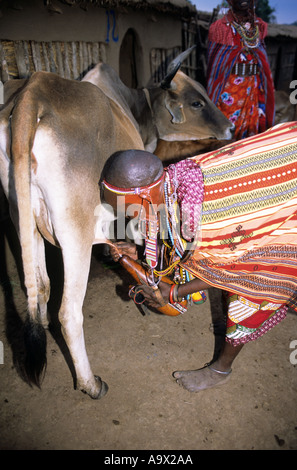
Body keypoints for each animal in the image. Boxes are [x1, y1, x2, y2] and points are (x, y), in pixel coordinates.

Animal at [0, 53, 231, 398]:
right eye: (196, 102)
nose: (230, 126)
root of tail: (36, 88)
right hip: (75, 232)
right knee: (68, 312)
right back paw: (90, 383)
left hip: (22, 216)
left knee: (38, 289)